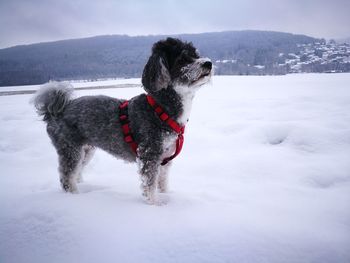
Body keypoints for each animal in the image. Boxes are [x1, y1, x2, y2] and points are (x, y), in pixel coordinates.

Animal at [33, 37, 213, 204]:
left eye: (196, 54)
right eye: (182, 59)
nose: (208, 63)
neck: (160, 108)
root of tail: (56, 111)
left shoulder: (165, 157)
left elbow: (162, 181)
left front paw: (167, 195)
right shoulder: (150, 153)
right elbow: (150, 184)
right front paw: (155, 204)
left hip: (86, 149)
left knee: (76, 171)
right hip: (70, 147)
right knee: (66, 176)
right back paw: (75, 197)